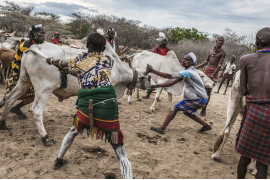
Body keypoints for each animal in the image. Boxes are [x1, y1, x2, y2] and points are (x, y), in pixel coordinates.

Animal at [0, 42, 152, 146]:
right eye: (148, 77)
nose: (153, 86)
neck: (117, 69)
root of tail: (34, 47)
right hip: (44, 90)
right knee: (36, 111)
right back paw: (45, 138)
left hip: (24, 81)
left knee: (9, 98)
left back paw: (3, 123)